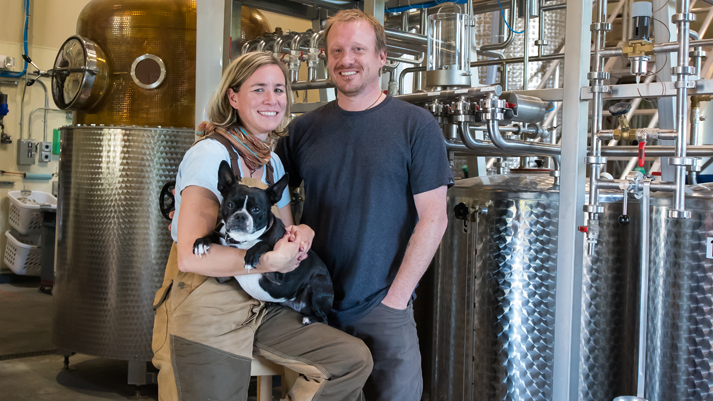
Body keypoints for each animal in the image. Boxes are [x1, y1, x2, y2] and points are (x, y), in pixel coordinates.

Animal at [191, 160, 332, 324]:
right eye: (230, 204)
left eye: (256, 209)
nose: (240, 216)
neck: (241, 240)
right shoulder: (222, 276)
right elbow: (215, 235)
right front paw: (202, 241)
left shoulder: (280, 273)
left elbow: (264, 243)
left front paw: (251, 254)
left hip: (318, 287)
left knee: (324, 318)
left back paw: (309, 319)